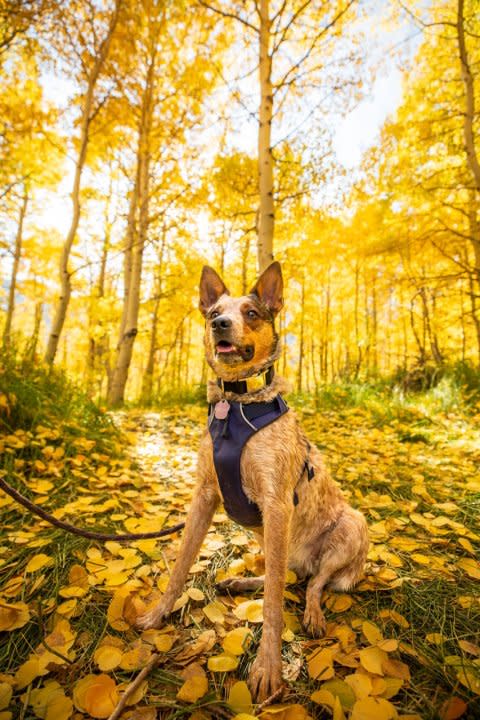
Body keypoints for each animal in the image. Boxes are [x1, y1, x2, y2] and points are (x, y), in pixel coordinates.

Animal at [137, 262, 370, 700]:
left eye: (251, 312)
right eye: (214, 312)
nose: (220, 325)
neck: (236, 405)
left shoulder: (277, 504)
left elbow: (274, 605)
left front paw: (268, 668)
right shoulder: (204, 496)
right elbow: (180, 567)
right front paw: (157, 614)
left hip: (351, 525)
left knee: (312, 584)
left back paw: (313, 612)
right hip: (266, 536)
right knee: (286, 576)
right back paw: (243, 580)